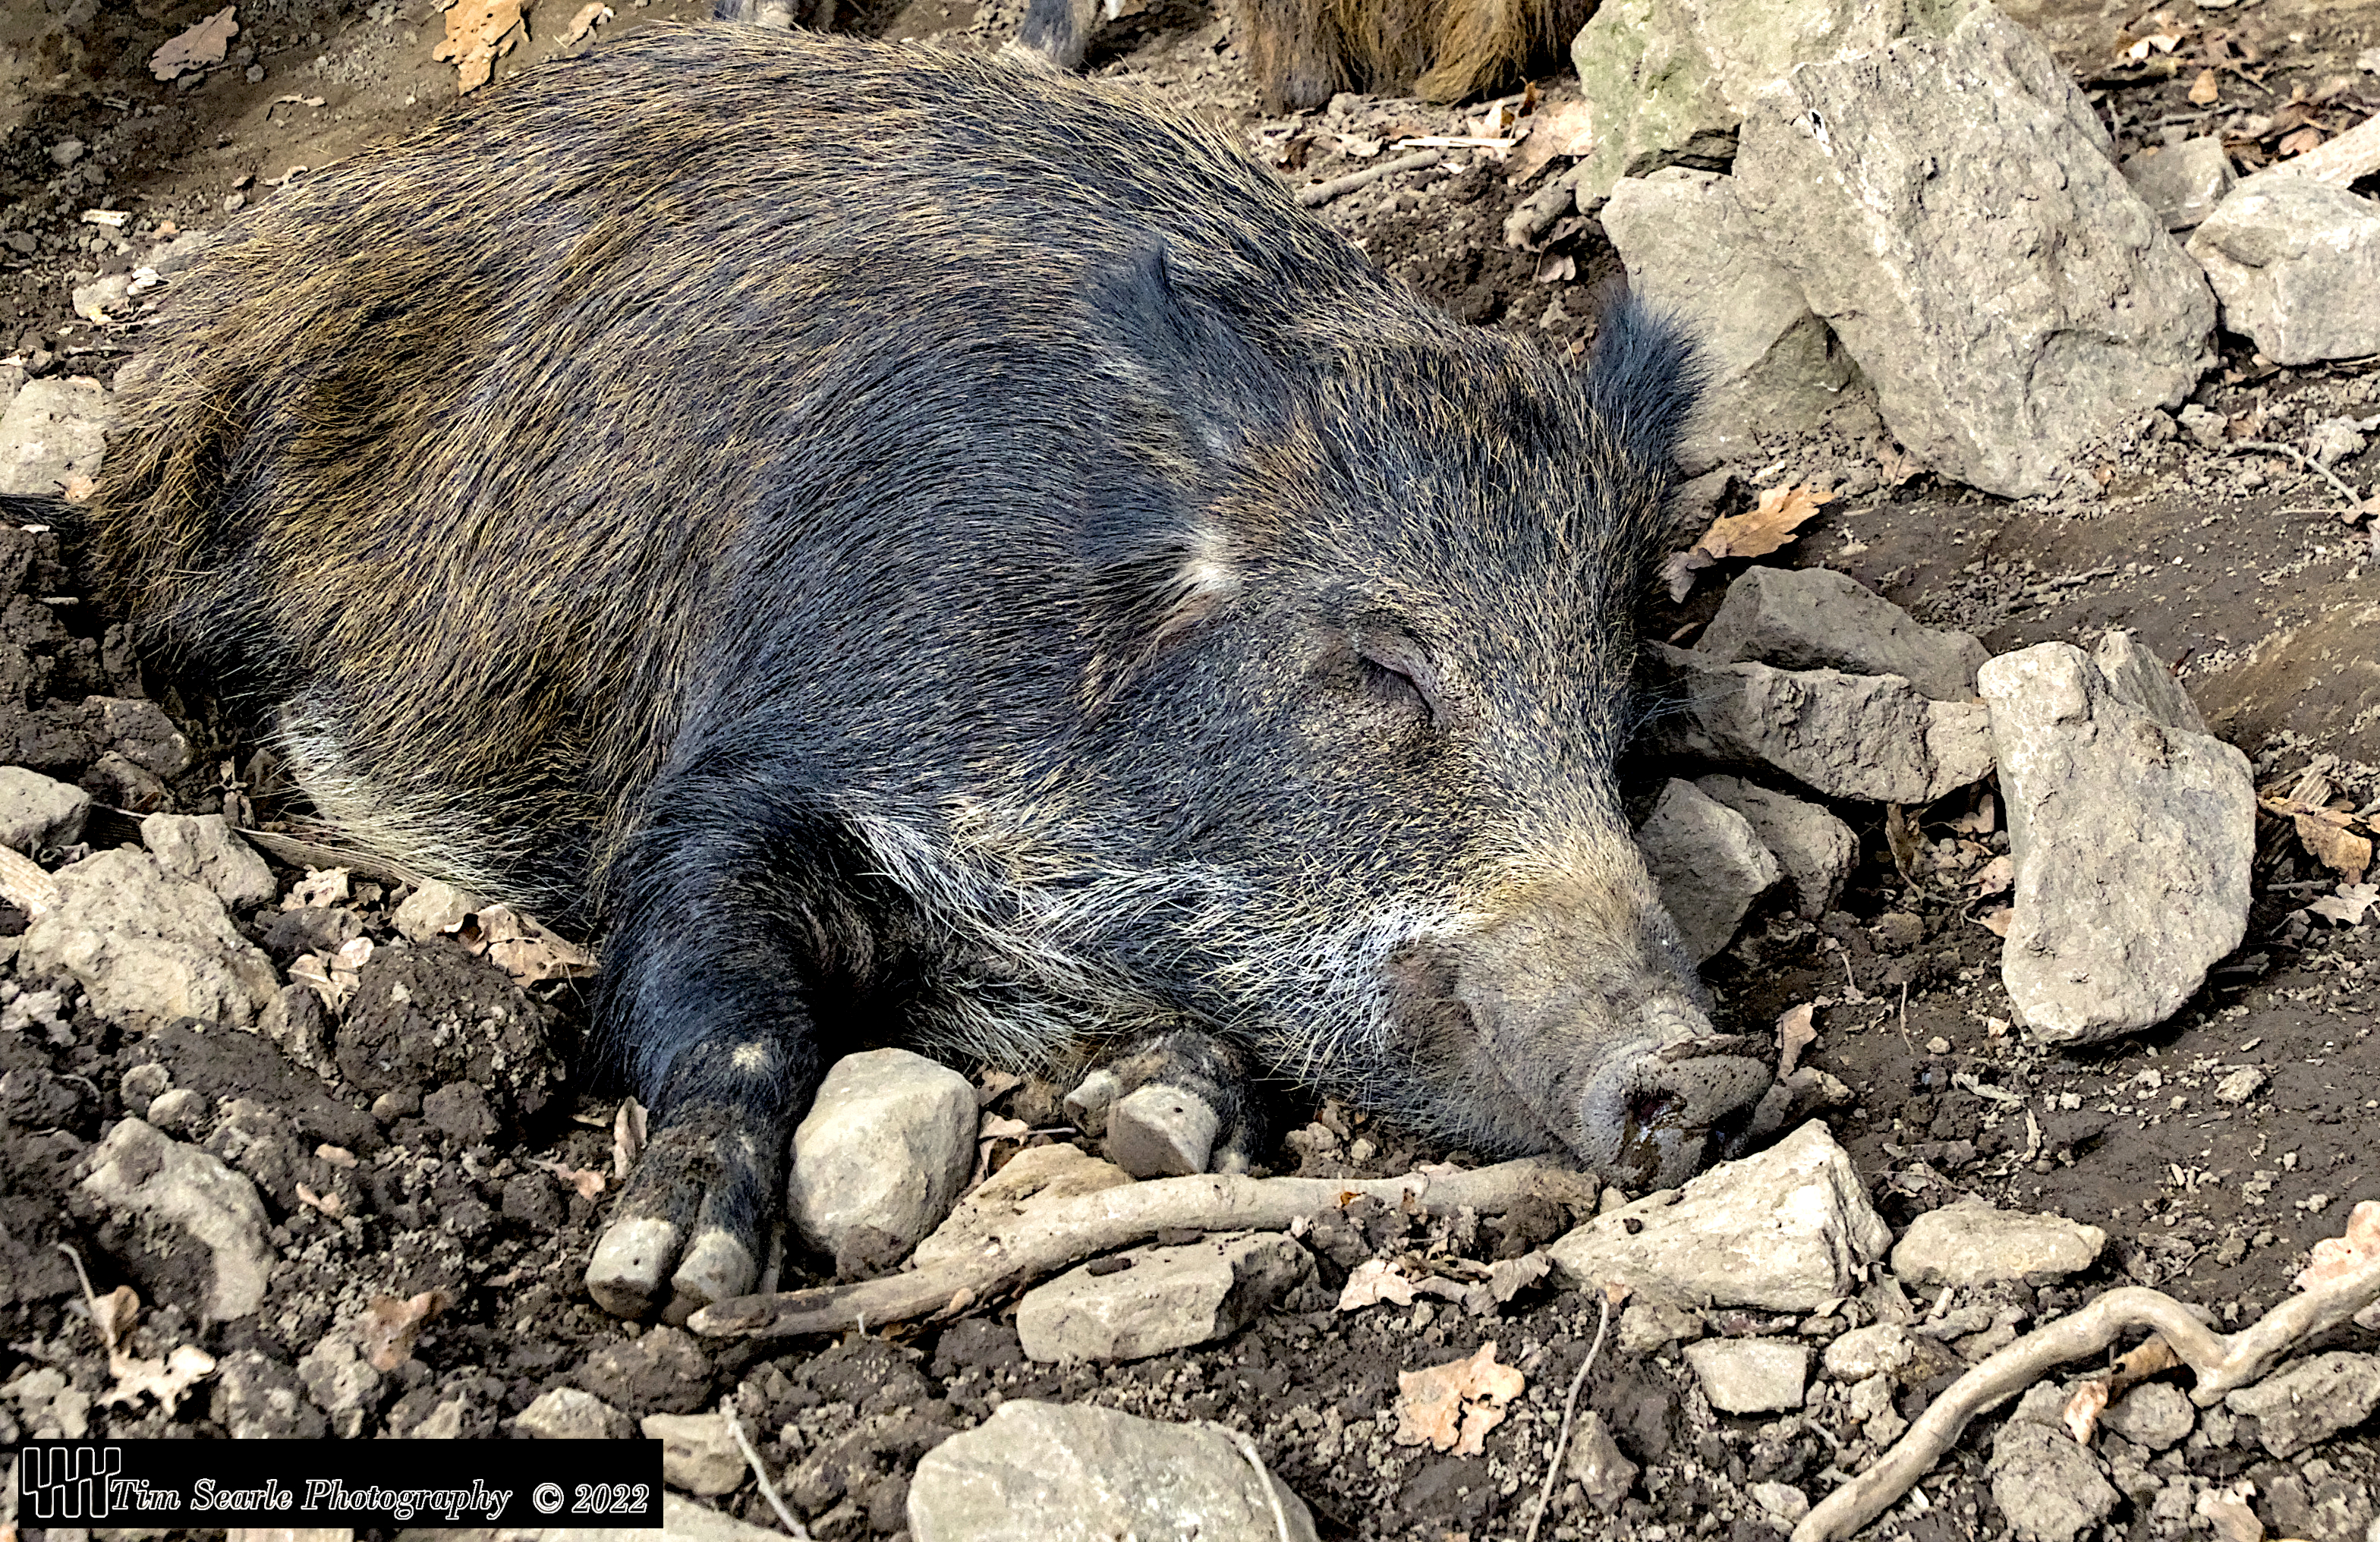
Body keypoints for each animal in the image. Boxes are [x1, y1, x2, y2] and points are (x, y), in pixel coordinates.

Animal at [68, 24, 1772, 1321]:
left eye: (1626, 734)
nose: (1701, 1071)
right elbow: (707, 968)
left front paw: (1159, 1110)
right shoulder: (748, 760)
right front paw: (667, 1277)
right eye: (1382, 662)